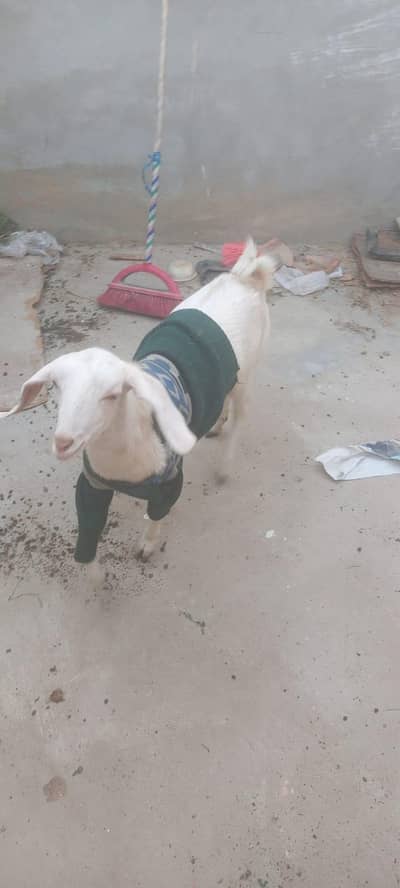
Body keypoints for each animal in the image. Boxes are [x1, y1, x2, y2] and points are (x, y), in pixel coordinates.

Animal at [1, 239, 273, 584]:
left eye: (112, 394)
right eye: (58, 387)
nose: (63, 442)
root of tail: (245, 276)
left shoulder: (171, 480)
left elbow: (157, 515)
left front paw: (146, 548)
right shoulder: (93, 484)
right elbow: (89, 530)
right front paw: (95, 575)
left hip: (249, 371)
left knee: (241, 417)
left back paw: (224, 466)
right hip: (228, 377)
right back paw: (216, 425)